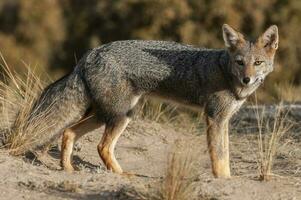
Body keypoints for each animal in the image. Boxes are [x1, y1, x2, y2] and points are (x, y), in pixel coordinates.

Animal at [27, 23, 276, 178]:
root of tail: (91, 53)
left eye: (258, 63)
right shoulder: (214, 117)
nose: (246, 79)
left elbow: (225, 155)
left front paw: (227, 178)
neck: (224, 70)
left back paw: (68, 168)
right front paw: (223, 180)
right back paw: (122, 175)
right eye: (240, 62)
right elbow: (219, 157)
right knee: (102, 146)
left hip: (103, 115)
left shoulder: (224, 119)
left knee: (69, 132)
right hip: (121, 116)